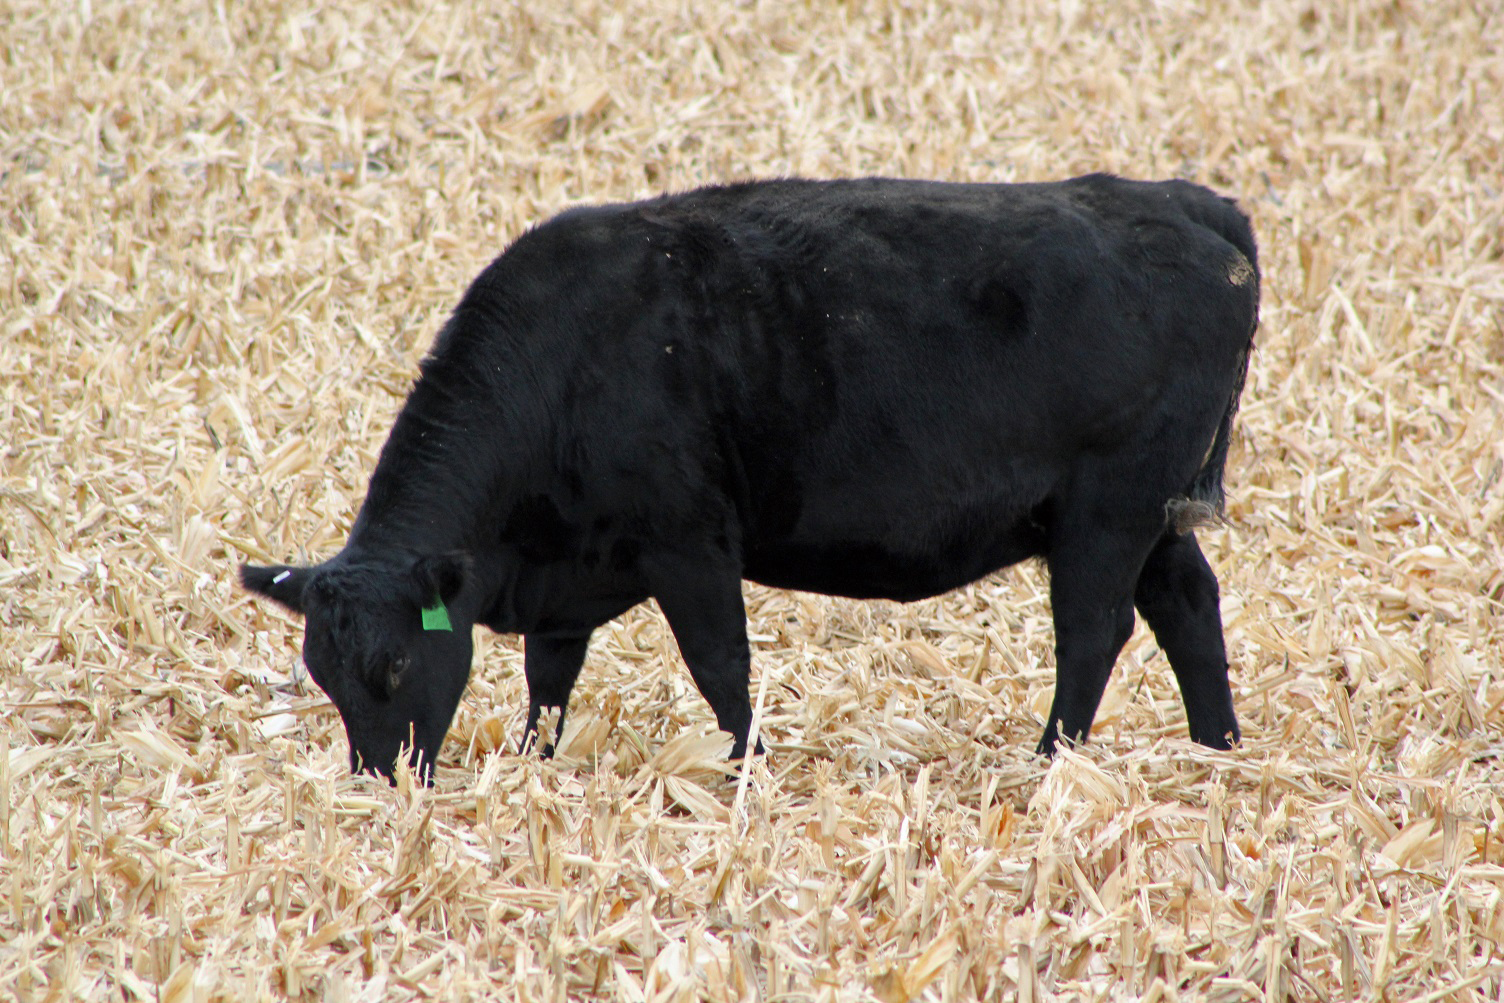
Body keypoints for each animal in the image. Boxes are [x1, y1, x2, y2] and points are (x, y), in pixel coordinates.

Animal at [242, 174, 1258, 783]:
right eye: (324, 674)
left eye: (395, 663)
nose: (377, 785)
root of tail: (1182, 200)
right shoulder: (570, 574)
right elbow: (549, 676)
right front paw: (536, 759)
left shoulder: (688, 540)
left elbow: (719, 664)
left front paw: (747, 765)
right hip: (1156, 517)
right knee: (1187, 606)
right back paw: (1219, 747)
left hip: (1108, 510)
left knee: (1093, 631)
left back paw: (1051, 760)